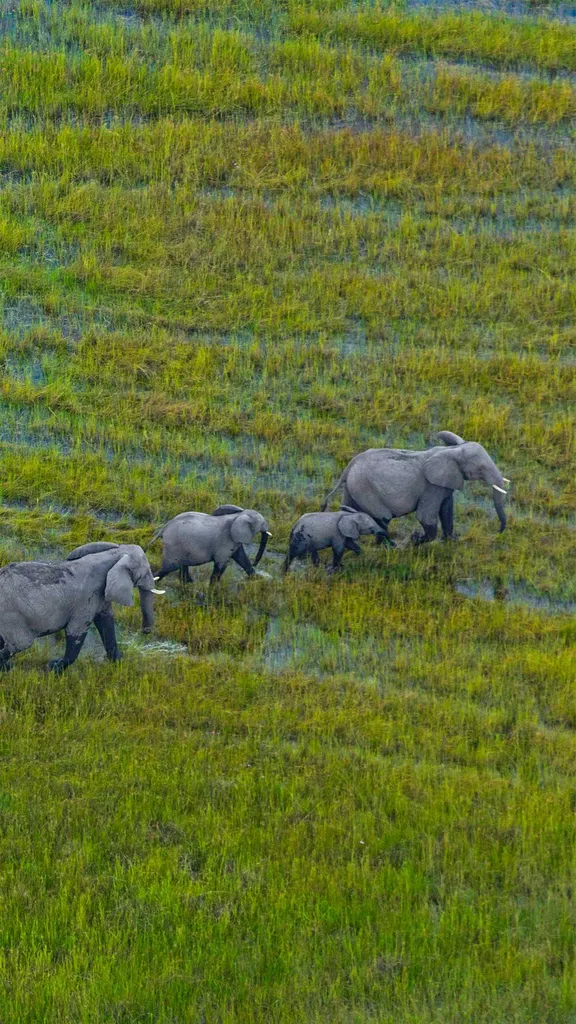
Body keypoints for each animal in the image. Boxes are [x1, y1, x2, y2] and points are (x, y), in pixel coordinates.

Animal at [0, 544, 163, 673]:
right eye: (145, 573)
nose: (145, 631)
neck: (115, 553)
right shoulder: (85, 600)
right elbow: (76, 631)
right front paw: (53, 668)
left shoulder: (100, 595)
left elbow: (106, 622)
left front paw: (119, 662)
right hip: (11, 616)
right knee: (20, 644)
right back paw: (7, 668)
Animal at [321, 431, 510, 544]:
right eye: (480, 469)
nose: (498, 532)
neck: (452, 450)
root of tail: (348, 467)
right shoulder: (432, 486)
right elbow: (425, 516)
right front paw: (415, 540)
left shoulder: (443, 484)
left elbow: (447, 509)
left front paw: (451, 540)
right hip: (365, 488)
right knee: (382, 518)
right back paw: (390, 547)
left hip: (353, 487)